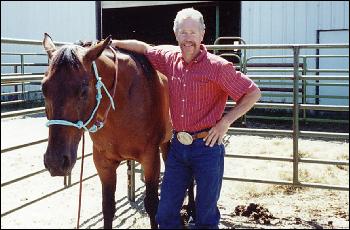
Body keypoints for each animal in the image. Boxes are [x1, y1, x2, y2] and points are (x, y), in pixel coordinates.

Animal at [41, 33, 173, 229]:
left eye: (83, 90)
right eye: (43, 88)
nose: (55, 162)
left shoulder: (150, 158)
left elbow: (151, 205)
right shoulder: (104, 163)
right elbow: (108, 207)